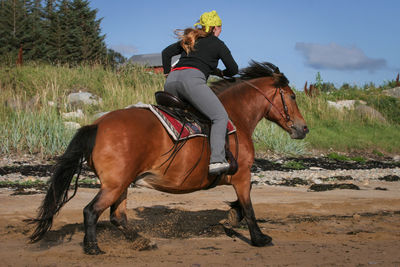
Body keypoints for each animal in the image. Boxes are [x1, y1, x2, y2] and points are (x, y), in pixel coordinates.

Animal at [27, 60, 310, 255]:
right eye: (292, 96)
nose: (304, 128)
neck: (235, 118)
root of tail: (96, 125)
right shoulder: (241, 175)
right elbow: (249, 208)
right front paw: (259, 238)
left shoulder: (238, 178)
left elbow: (242, 206)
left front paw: (229, 219)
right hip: (115, 185)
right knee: (91, 211)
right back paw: (93, 247)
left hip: (121, 184)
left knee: (117, 216)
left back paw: (142, 241)